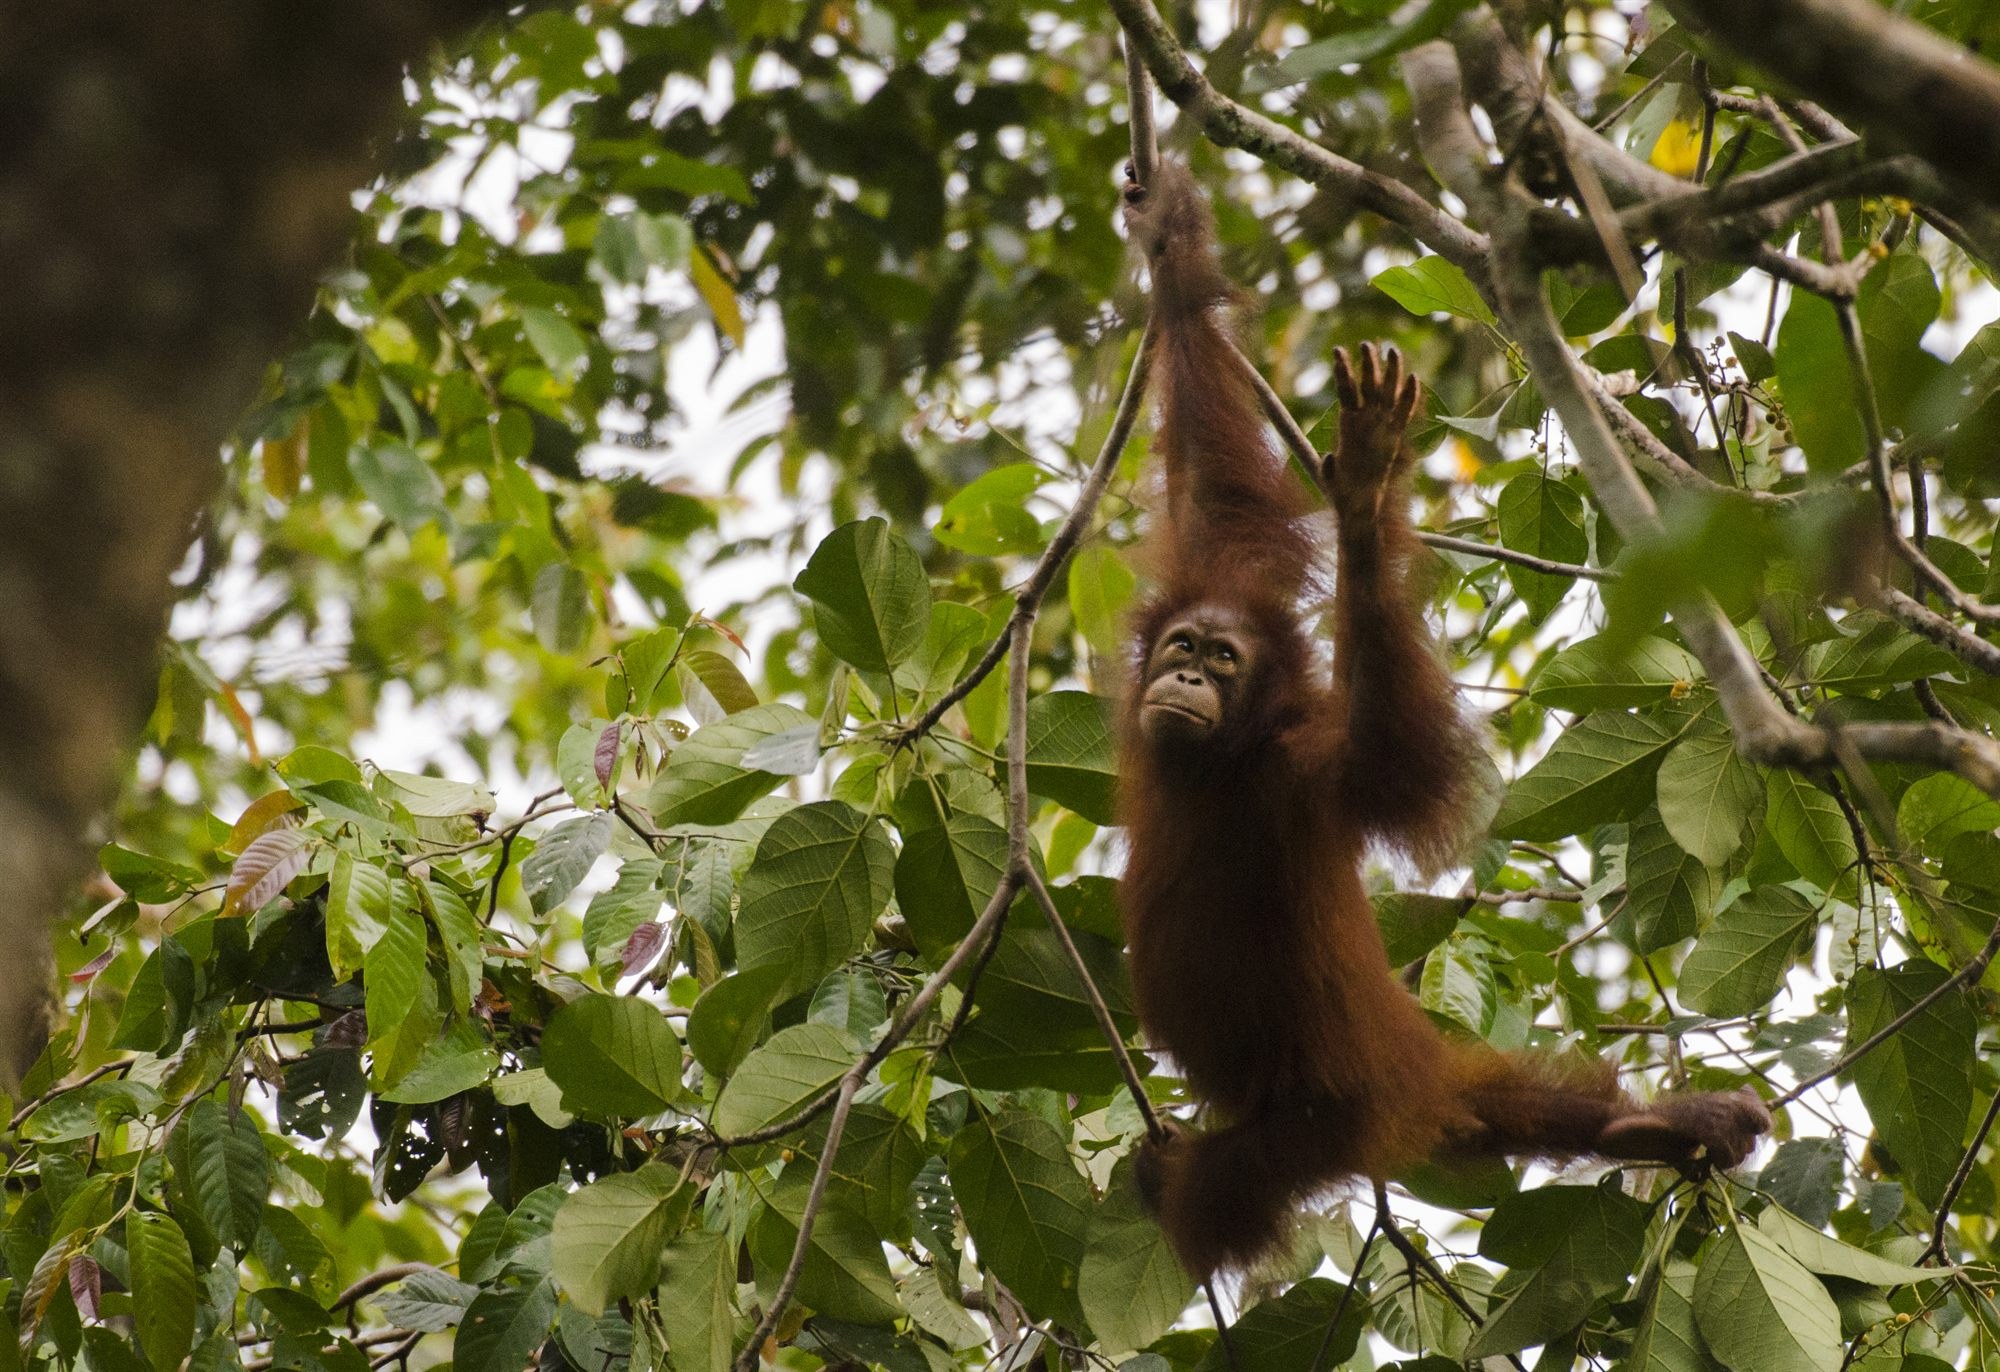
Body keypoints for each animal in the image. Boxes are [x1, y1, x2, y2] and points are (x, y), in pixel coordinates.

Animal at [1114, 162, 1771, 1279]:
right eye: (1185, 645)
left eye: (1223, 662)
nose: (1189, 678)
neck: (1217, 765)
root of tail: (1410, 1073)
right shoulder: (1220, 572)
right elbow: (1214, 482)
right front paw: (1168, 237)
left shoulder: (1300, 772)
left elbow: (1397, 763)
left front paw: (1367, 495)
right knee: (1507, 1107)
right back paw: (1647, 1127)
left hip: (1322, 1117)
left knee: (1224, 1187)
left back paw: (1177, 1191)